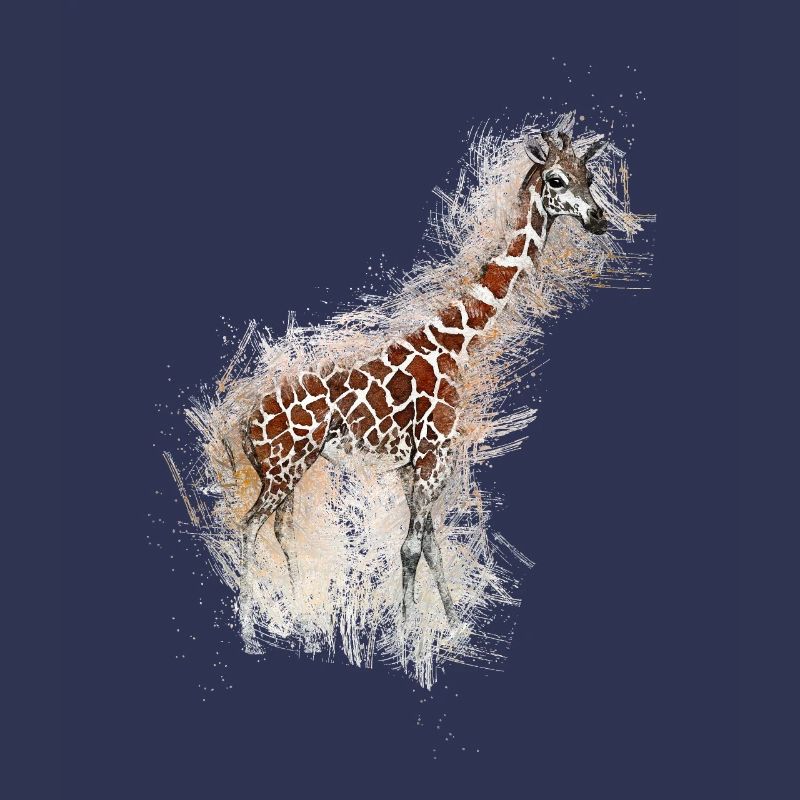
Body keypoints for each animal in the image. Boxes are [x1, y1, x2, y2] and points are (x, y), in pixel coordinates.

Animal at [235, 119, 609, 652]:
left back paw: (301, 617)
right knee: (248, 529)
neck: (457, 340)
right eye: (557, 179)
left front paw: (452, 624)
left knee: (281, 530)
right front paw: (409, 633)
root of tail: (242, 428)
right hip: (283, 470)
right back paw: (250, 631)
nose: (599, 220)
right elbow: (412, 545)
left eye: (590, 175)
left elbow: (430, 543)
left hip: (288, 472)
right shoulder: (433, 454)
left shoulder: (415, 466)